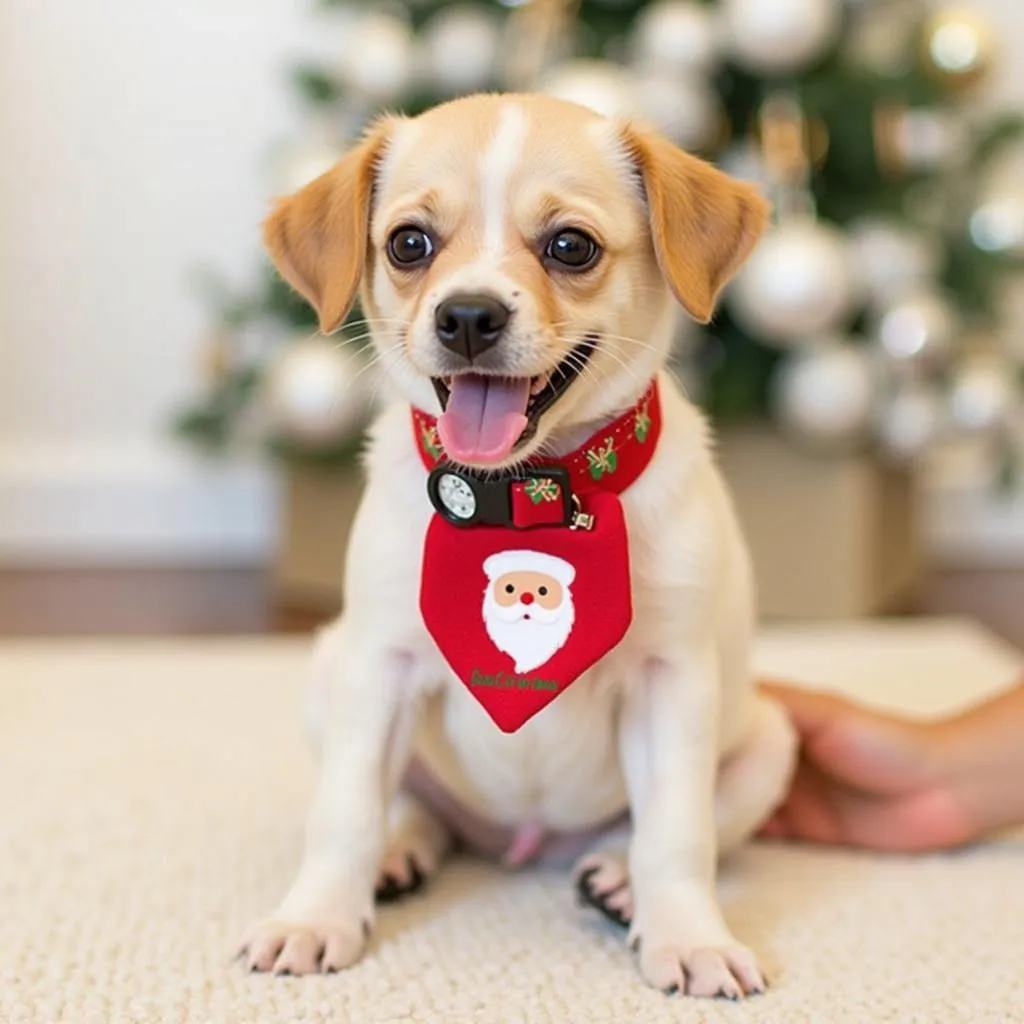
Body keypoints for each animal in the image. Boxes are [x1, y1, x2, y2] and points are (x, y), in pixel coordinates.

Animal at [241, 92, 798, 995]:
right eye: (409, 243)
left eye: (571, 246)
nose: (467, 316)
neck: (520, 497)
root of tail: (521, 839)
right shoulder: (379, 665)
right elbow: (346, 812)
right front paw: (315, 917)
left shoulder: (672, 682)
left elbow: (678, 834)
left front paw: (689, 936)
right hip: (331, 671)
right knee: (416, 808)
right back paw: (401, 851)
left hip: (769, 741)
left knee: (646, 832)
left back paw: (614, 876)